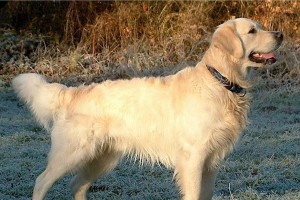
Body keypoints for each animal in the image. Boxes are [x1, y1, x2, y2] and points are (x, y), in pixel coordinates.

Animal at [12, 18, 284, 199]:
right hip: (72, 153)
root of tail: (72, 93)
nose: (280, 34)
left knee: (77, 184)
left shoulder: (211, 161)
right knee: (41, 181)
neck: (220, 81)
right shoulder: (193, 157)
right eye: (252, 31)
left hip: (102, 158)